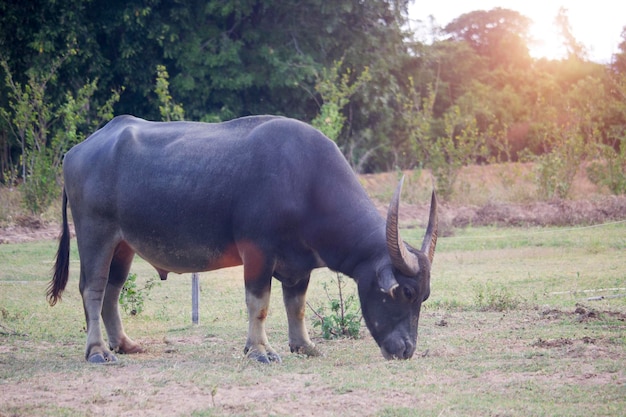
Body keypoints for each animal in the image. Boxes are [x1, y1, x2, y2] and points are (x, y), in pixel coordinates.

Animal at [46, 114, 436, 360]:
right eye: (405, 292)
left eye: (424, 297)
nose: (406, 350)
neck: (306, 182)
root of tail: (76, 152)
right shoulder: (258, 252)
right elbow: (258, 303)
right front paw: (260, 350)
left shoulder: (299, 264)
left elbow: (296, 305)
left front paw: (303, 345)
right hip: (95, 233)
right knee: (92, 289)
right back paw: (97, 352)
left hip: (123, 244)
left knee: (112, 290)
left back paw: (123, 344)